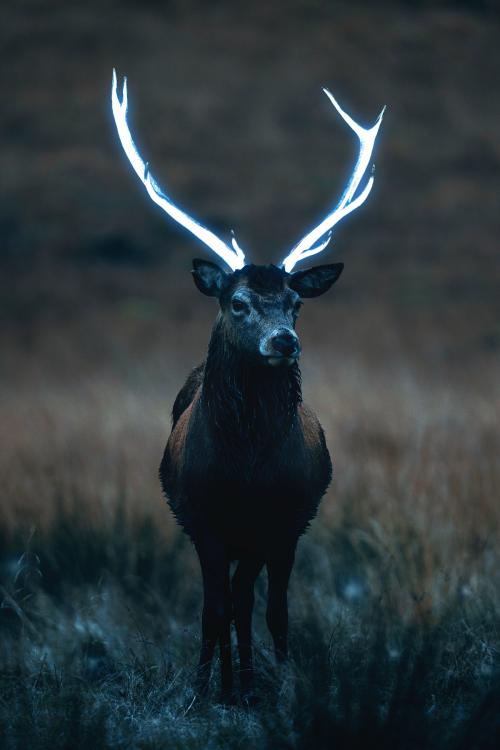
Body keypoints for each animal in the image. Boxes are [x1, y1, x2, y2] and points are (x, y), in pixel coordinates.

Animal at [111, 70, 384, 704]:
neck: (243, 470)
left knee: (255, 601)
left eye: (295, 304)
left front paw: (277, 687)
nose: (285, 341)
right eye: (237, 302)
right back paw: (231, 682)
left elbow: (265, 608)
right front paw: (202, 690)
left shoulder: (281, 520)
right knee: (225, 602)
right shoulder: (204, 517)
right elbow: (212, 609)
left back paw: (255, 679)